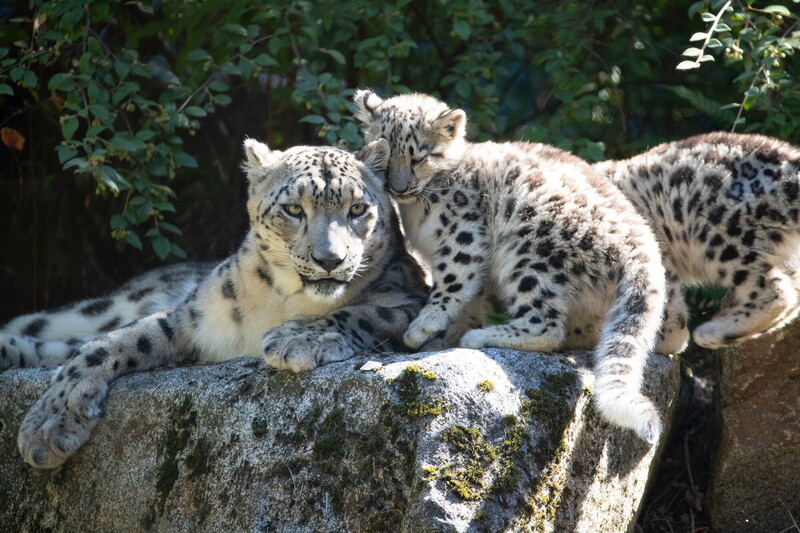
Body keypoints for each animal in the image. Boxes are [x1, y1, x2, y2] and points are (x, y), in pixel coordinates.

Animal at [10, 138, 428, 469]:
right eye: (294, 209)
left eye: (357, 209)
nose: (330, 259)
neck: (285, 300)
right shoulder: (192, 316)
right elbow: (117, 341)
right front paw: (47, 425)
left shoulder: (411, 304)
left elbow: (364, 313)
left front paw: (298, 338)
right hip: (107, 307)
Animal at [353, 90, 667, 444]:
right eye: (385, 152)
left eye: (419, 157)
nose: (398, 187)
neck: (416, 213)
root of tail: (643, 242)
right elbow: (470, 300)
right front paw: (446, 337)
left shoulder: (462, 235)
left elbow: (452, 280)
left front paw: (423, 327)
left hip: (530, 252)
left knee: (547, 326)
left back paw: (480, 337)